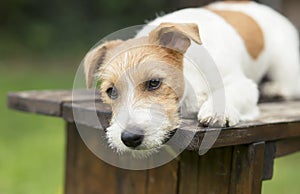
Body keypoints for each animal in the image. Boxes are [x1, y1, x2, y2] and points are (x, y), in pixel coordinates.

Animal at [82, 0, 300, 155]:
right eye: (111, 91)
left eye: (154, 83)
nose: (129, 138)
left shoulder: (242, 83)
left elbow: (230, 92)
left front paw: (216, 111)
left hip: (285, 66)